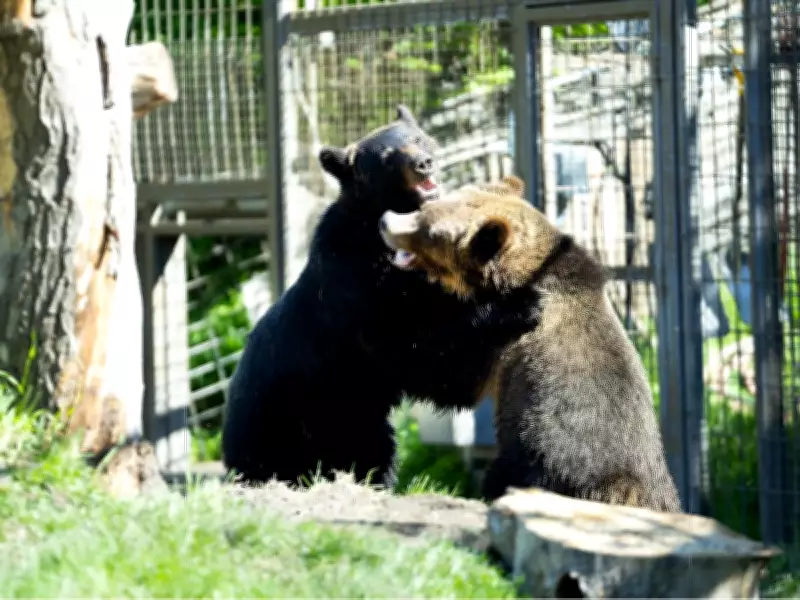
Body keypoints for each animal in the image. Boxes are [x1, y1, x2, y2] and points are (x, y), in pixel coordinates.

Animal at [221, 108, 535, 488]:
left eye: (417, 139)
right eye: (387, 157)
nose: (424, 163)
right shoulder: (361, 289)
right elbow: (419, 347)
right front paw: (520, 306)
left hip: (357, 421)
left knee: (374, 454)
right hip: (280, 422)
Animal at [378, 176, 682, 512]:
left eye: (429, 231)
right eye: (426, 207)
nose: (386, 221)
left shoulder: (506, 345)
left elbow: (448, 375)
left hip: (540, 459)